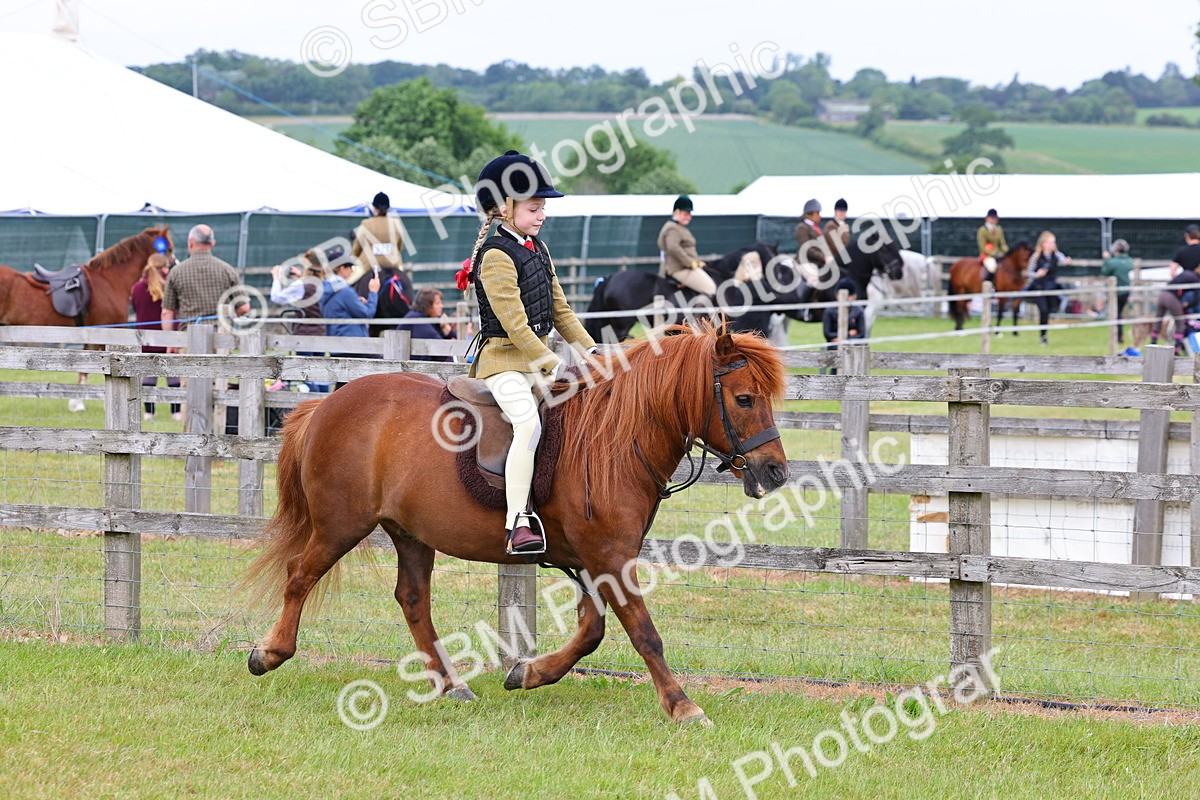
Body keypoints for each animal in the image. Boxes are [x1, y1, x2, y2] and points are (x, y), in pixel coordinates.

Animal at [0, 226, 174, 411]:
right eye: (169, 249)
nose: (174, 264)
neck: (108, 280)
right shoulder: (106, 333)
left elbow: (84, 370)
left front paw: (76, 402)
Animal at [244, 324, 789, 725]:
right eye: (744, 399)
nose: (775, 472)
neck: (617, 436)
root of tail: (327, 402)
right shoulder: (609, 556)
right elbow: (643, 633)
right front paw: (682, 705)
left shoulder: (594, 561)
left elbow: (592, 632)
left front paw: (527, 673)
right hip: (341, 525)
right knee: (299, 576)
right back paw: (269, 653)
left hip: (410, 534)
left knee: (413, 600)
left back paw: (451, 684)